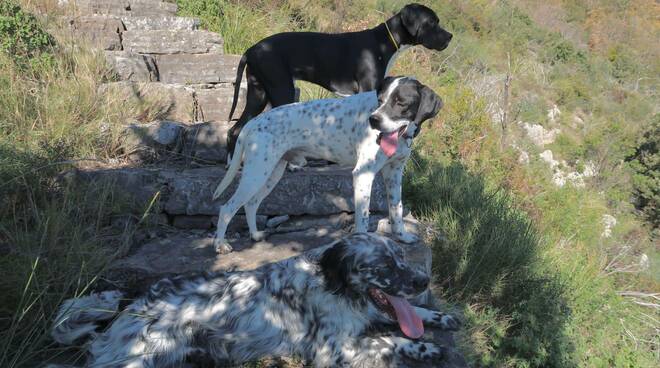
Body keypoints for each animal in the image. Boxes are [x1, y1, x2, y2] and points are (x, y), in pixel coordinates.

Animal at [52, 234, 458, 366]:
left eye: (401, 256)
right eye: (383, 265)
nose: (423, 279)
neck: (334, 287)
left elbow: (409, 318)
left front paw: (438, 320)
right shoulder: (331, 349)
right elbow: (386, 339)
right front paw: (424, 347)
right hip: (139, 359)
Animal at [227, 3, 454, 158]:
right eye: (432, 23)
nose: (450, 37)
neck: (384, 42)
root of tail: (252, 49)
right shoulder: (368, 91)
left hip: (258, 94)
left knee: (235, 130)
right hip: (281, 90)